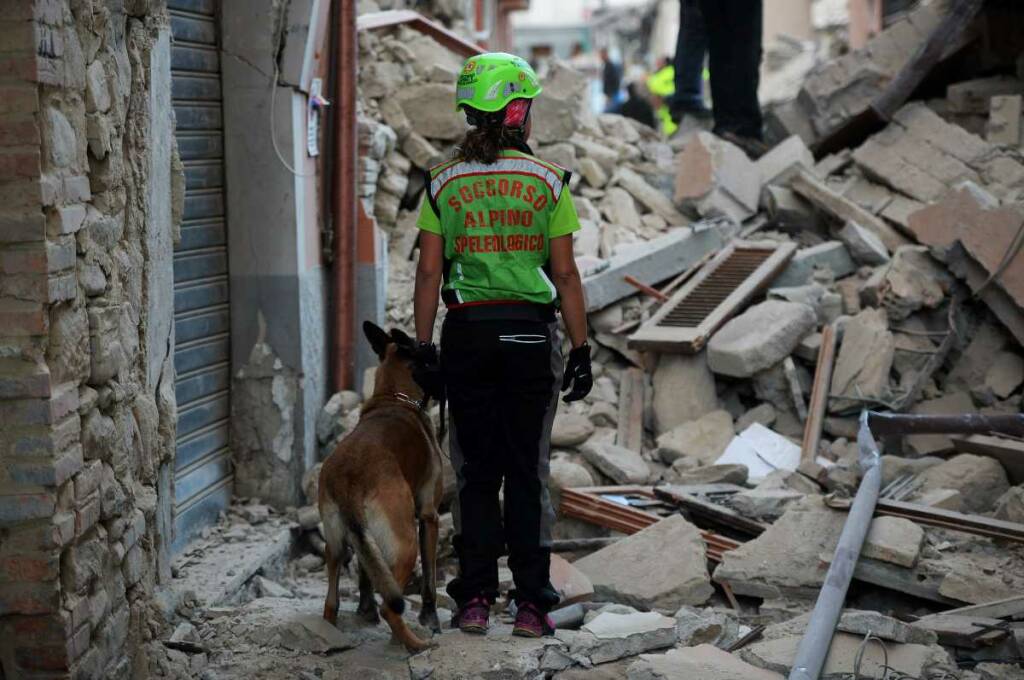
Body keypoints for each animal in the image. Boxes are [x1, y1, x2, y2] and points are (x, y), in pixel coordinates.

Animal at [317, 323, 442, 655]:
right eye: (426, 349)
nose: (435, 344)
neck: (394, 397)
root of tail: (348, 478)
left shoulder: (365, 540)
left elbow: (368, 573)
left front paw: (365, 610)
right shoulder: (429, 517)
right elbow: (430, 581)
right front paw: (431, 619)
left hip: (335, 543)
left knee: (331, 602)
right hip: (407, 542)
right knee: (392, 606)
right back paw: (413, 644)